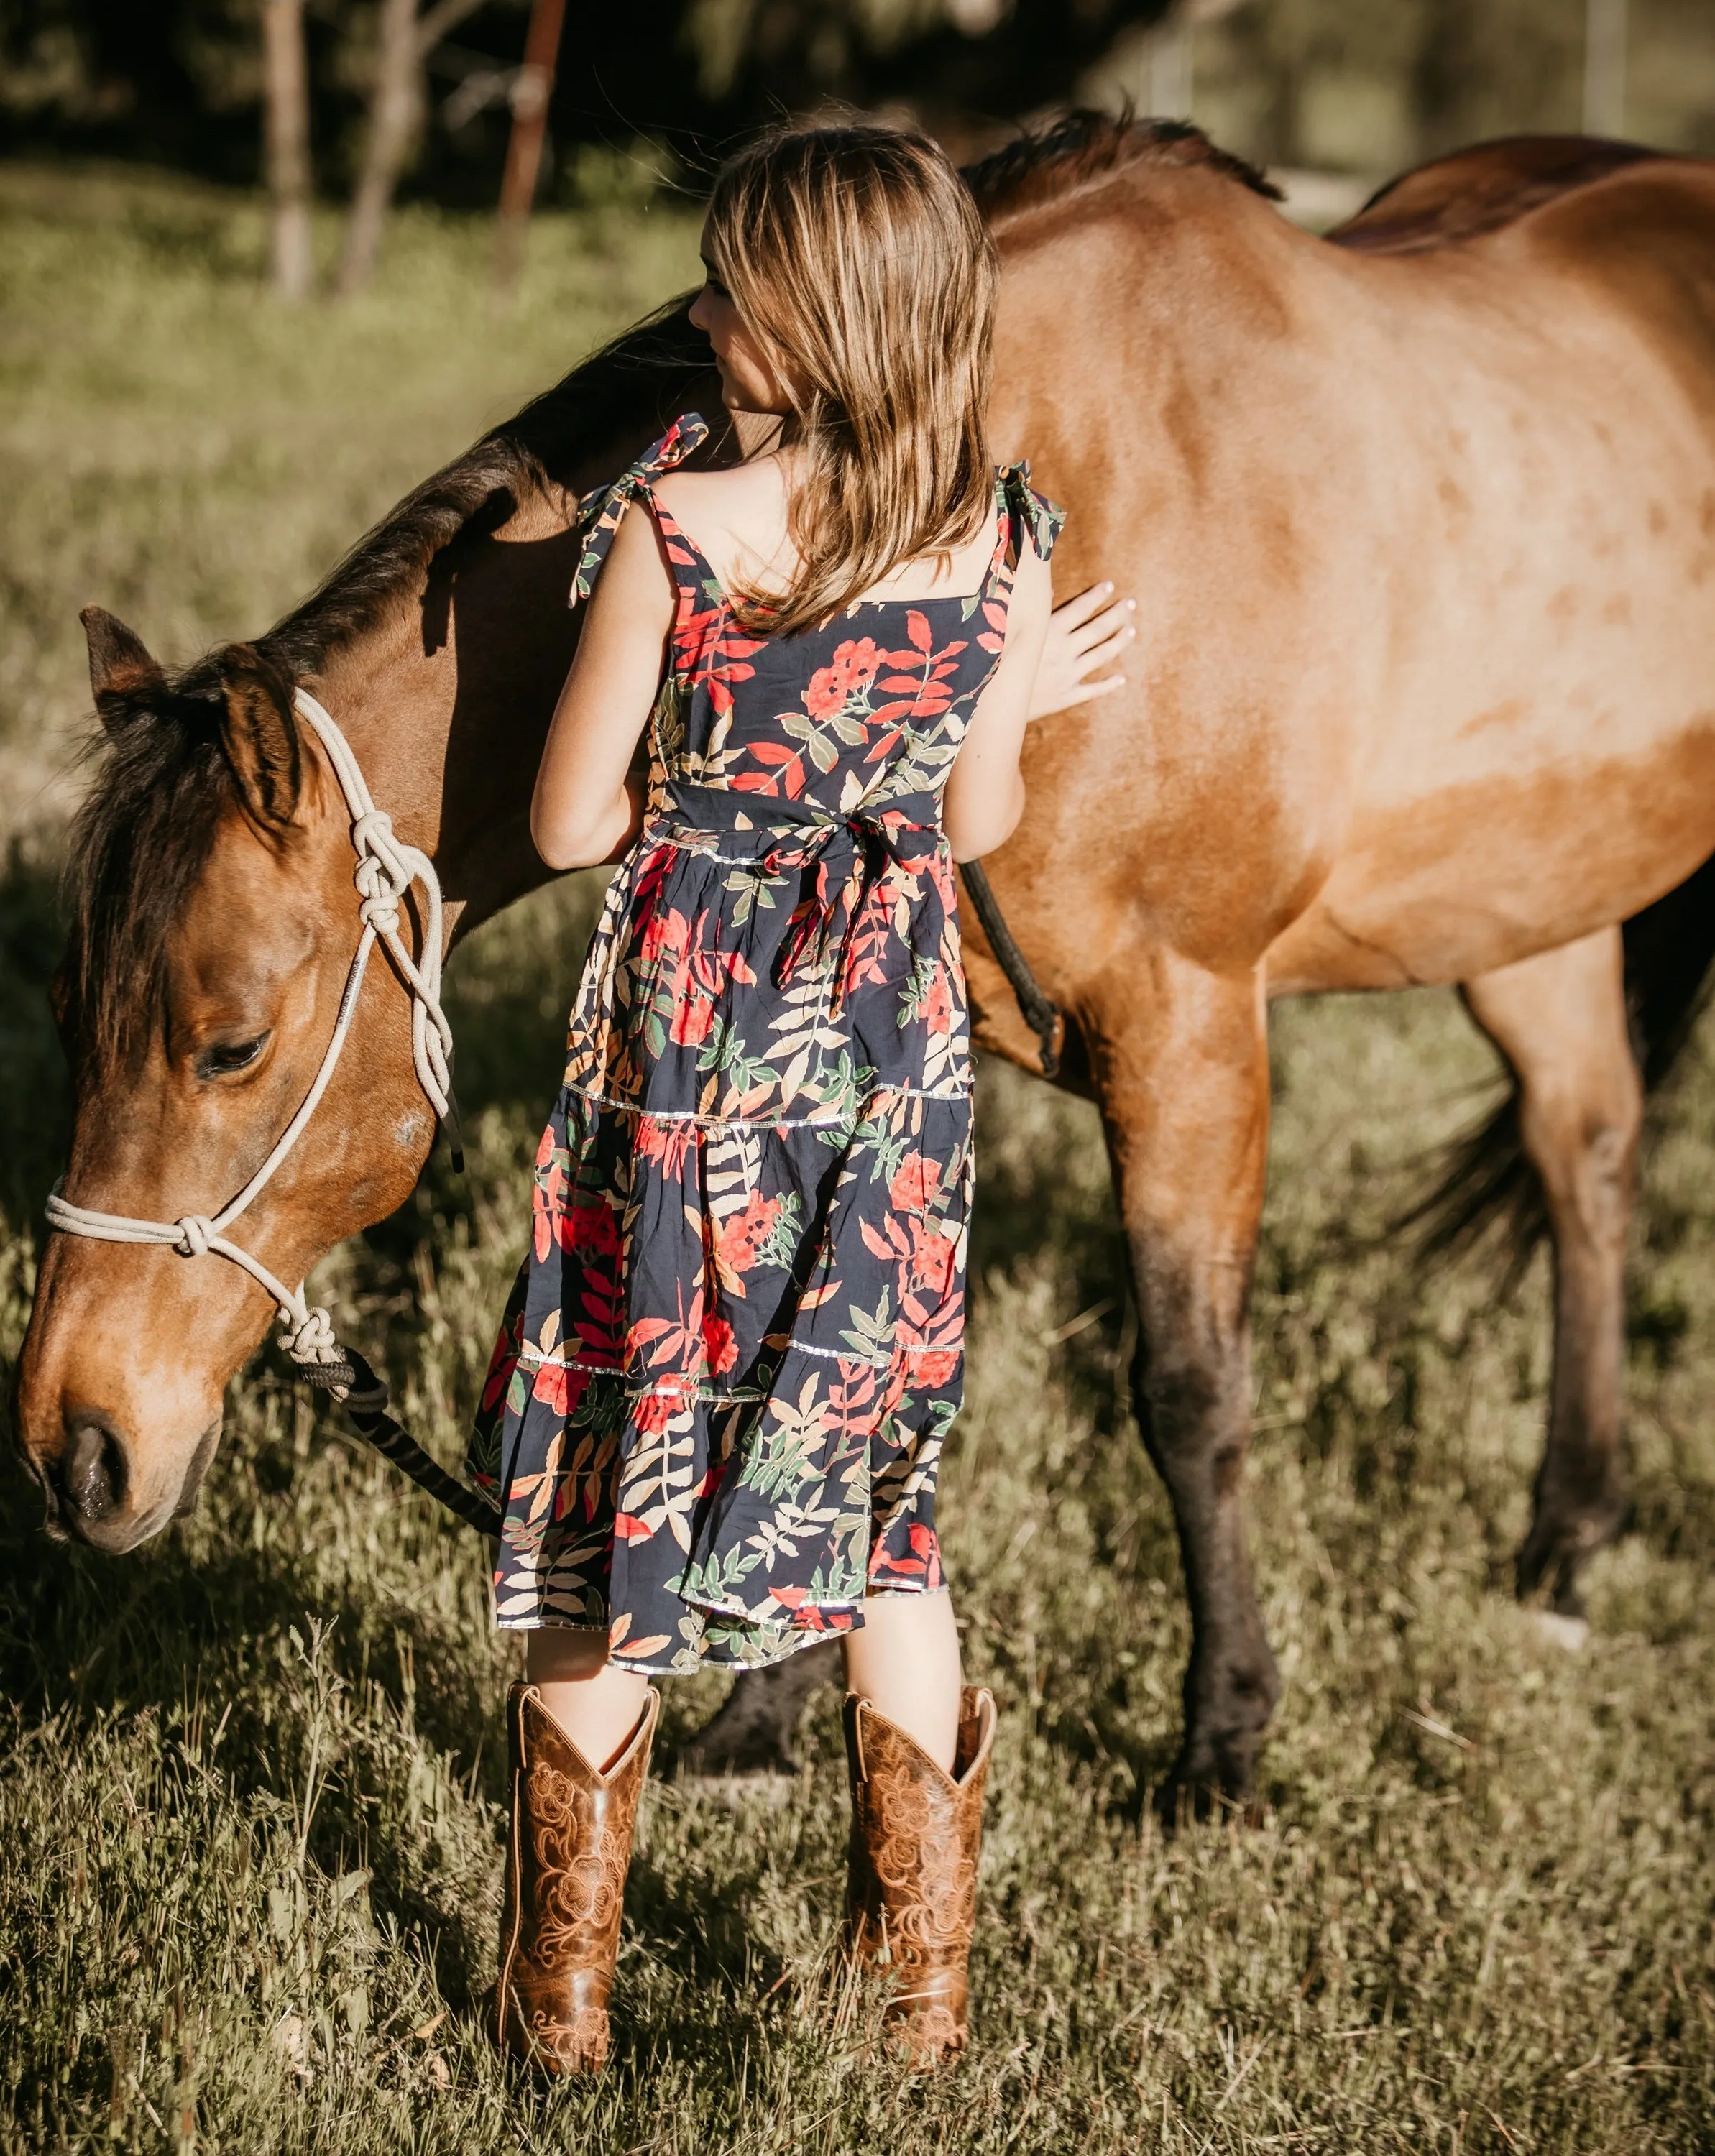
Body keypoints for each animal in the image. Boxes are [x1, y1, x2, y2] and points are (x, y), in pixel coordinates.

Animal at [13, 114, 1715, 1802]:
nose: (69, 1448)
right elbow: (810, 1357)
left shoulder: (1190, 1031)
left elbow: (1186, 1390)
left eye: (231, 1043)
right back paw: (1564, 1543)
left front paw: (1220, 1743)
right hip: (1526, 909)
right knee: (1587, 1155)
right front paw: (759, 1725)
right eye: (71, 1018)